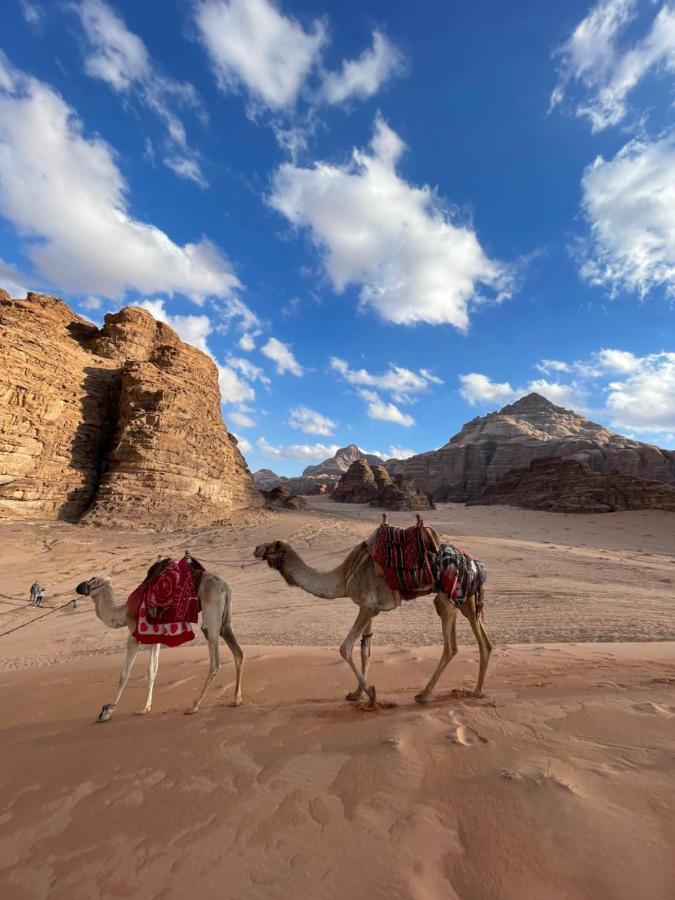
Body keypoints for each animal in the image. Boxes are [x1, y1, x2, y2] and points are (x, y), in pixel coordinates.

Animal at [75, 564, 244, 724]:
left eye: (92, 579)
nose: (78, 587)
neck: (124, 613)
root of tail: (225, 586)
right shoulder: (155, 637)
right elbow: (152, 670)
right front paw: (145, 708)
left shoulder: (133, 636)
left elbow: (124, 674)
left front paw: (107, 711)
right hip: (225, 617)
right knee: (237, 651)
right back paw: (236, 699)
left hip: (211, 607)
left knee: (214, 657)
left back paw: (194, 705)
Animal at [254, 528, 492, 712]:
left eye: (274, 545)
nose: (256, 548)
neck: (343, 577)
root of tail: (476, 563)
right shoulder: (369, 608)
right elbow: (365, 649)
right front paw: (356, 693)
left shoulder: (367, 607)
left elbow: (345, 647)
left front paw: (372, 694)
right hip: (467, 598)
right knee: (484, 642)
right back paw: (476, 691)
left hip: (448, 597)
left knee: (451, 645)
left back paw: (424, 695)